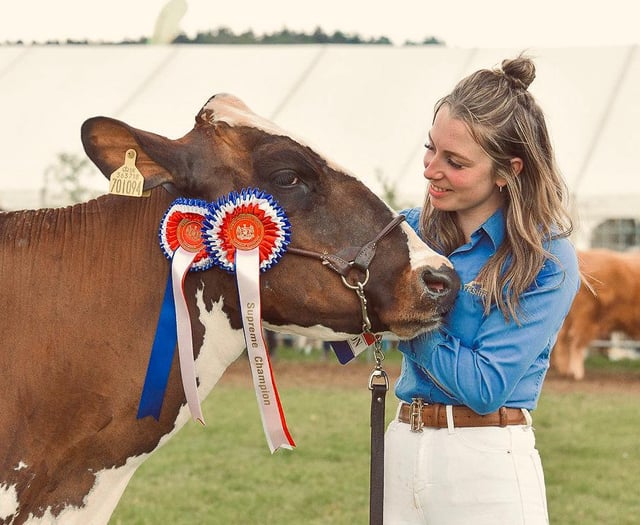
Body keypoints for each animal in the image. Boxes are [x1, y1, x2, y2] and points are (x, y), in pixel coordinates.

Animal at [552, 248, 640, 378]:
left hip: (570, 318)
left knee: (563, 339)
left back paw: (565, 370)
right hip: (587, 316)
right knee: (575, 341)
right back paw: (576, 373)